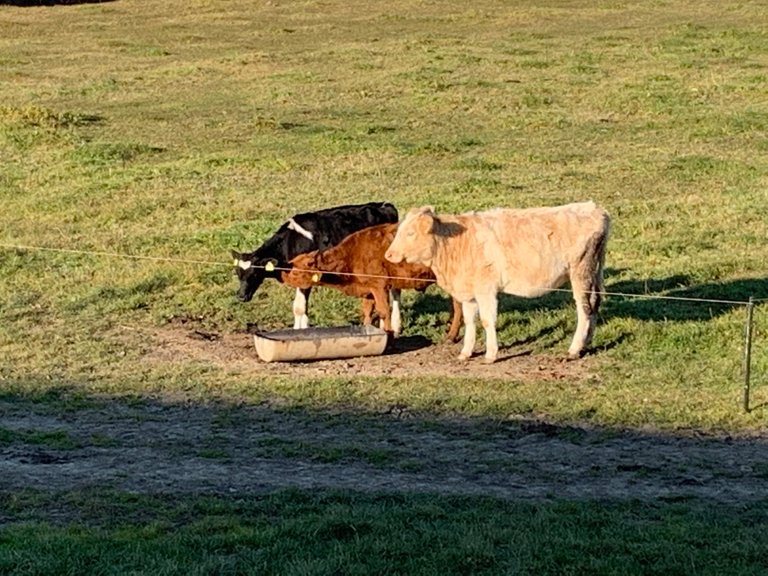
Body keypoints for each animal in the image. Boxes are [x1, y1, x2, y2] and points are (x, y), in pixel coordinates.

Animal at [228, 202, 396, 328]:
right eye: (237, 273)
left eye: (255, 273)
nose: (241, 296)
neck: (290, 242)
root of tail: (385, 205)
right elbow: (299, 308)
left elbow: (299, 307)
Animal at [388, 202, 608, 362]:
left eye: (410, 233)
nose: (388, 254)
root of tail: (595, 209)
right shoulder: (469, 293)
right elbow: (470, 321)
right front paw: (466, 352)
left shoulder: (486, 289)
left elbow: (487, 320)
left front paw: (490, 354)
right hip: (595, 272)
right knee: (595, 303)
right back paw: (587, 343)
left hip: (580, 272)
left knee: (584, 309)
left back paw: (574, 349)